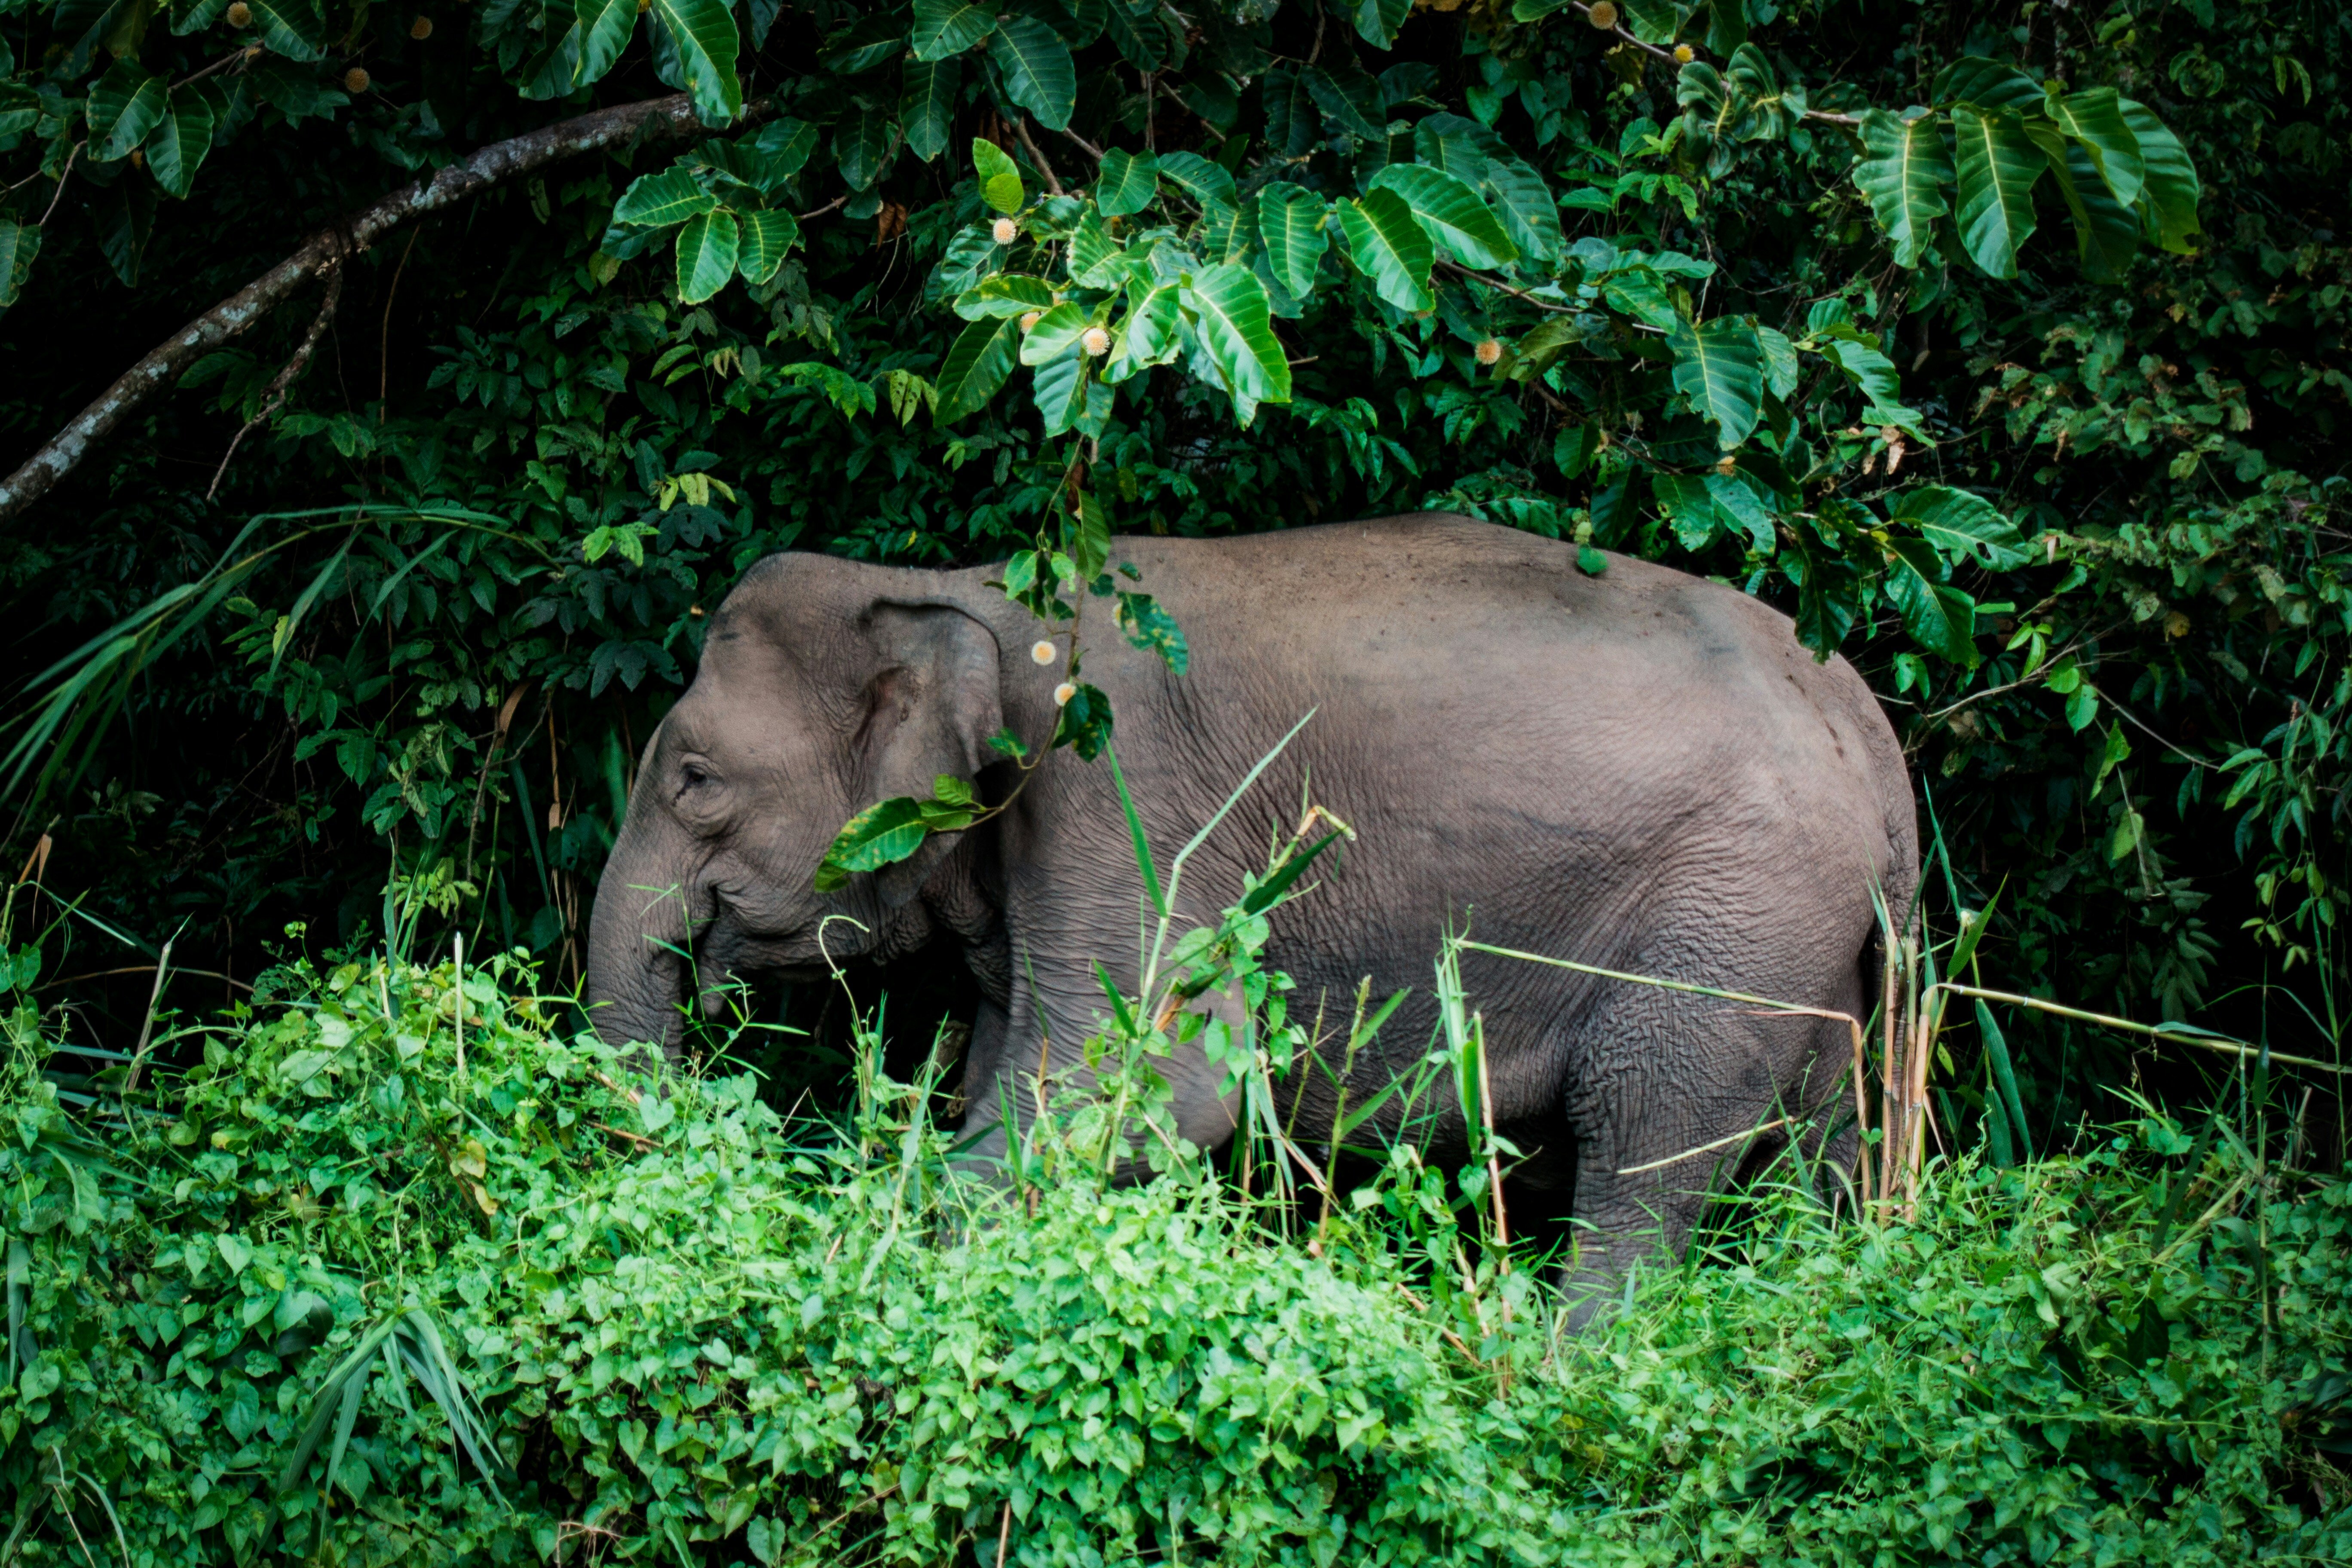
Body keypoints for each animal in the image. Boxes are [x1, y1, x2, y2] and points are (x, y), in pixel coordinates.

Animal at [583, 514, 1910, 1298]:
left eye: (695, 779)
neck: (951, 589)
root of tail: (1867, 730)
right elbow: (1024, 1072)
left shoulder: (1122, 799)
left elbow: (1147, 1091)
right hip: (1805, 945)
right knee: (1813, 1142)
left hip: (1728, 921)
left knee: (1643, 1144)